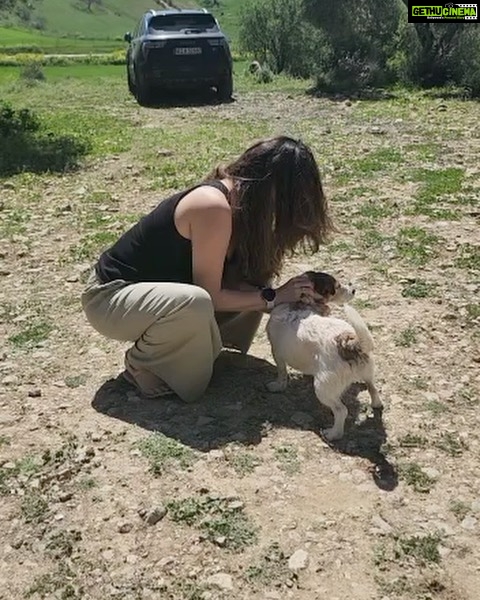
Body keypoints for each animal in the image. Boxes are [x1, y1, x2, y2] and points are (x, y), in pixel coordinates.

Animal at [266, 272, 382, 440]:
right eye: (337, 287)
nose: (353, 290)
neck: (300, 303)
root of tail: (350, 343)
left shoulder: (277, 353)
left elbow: (281, 373)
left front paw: (277, 386)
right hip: (367, 372)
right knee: (373, 388)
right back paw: (376, 403)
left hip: (323, 389)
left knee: (341, 411)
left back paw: (333, 434)